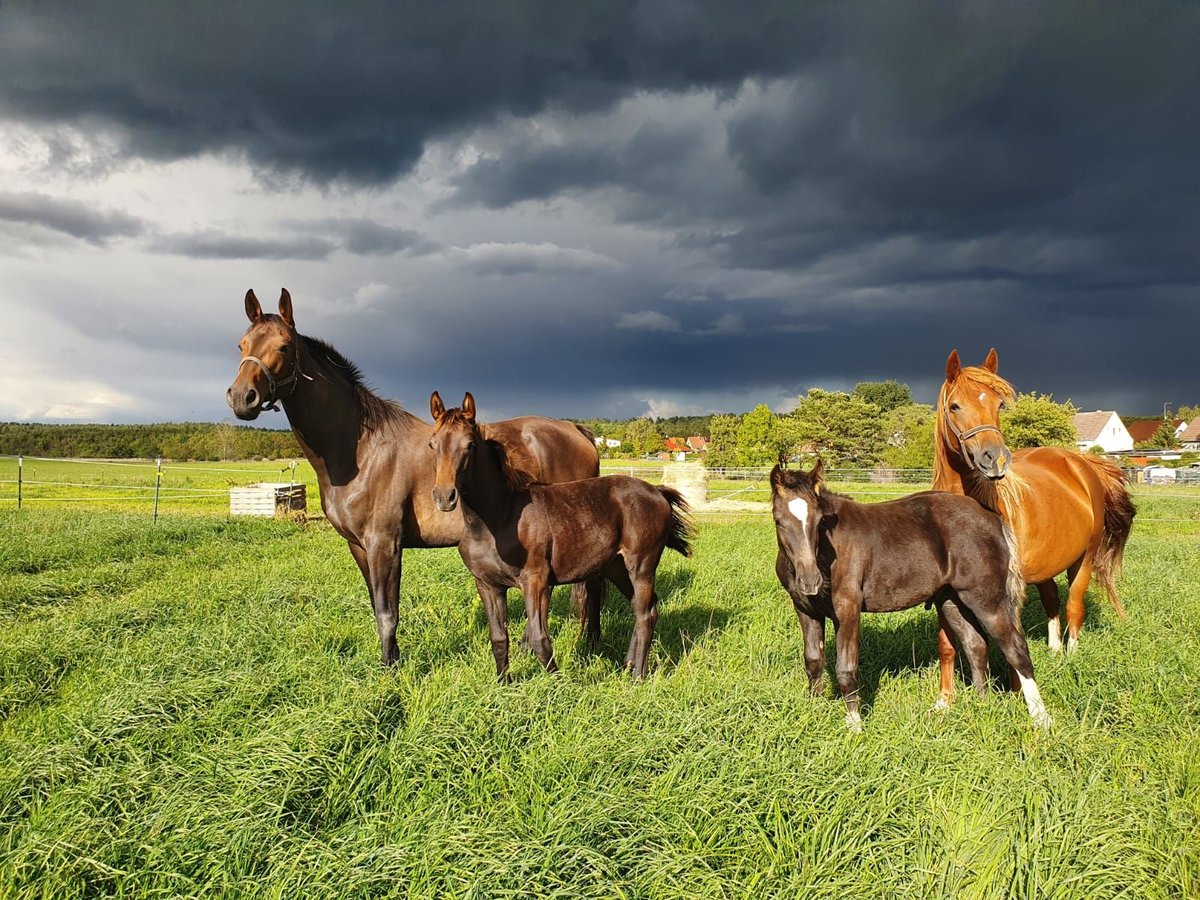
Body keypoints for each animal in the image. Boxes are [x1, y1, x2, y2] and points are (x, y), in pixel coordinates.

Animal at [224, 290, 600, 672]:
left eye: (284, 346)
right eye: (241, 345)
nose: (242, 397)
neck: (360, 452)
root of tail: (575, 430)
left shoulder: (384, 544)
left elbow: (388, 613)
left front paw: (390, 671)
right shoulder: (358, 546)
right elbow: (377, 607)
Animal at [432, 391, 696, 681]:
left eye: (470, 445)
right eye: (432, 444)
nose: (444, 496)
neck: (498, 519)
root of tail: (657, 491)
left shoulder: (535, 580)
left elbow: (539, 638)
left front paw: (559, 684)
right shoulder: (487, 585)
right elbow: (499, 638)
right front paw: (504, 684)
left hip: (642, 566)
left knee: (644, 612)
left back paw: (637, 675)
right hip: (616, 567)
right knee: (646, 608)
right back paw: (628, 666)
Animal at [772, 460, 1046, 729]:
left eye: (819, 521)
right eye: (777, 520)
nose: (811, 581)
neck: (827, 552)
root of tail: (994, 519)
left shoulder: (847, 608)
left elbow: (846, 669)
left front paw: (855, 727)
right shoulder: (805, 610)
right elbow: (813, 661)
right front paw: (813, 712)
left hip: (987, 600)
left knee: (1016, 648)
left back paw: (1041, 721)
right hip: (952, 600)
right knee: (976, 646)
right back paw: (980, 708)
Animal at [926, 348, 1132, 710]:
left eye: (999, 405)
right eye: (955, 406)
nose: (994, 459)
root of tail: (1082, 464)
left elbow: (1012, 640)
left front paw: (1015, 695)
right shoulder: (944, 590)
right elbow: (946, 643)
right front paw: (944, 703)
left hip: (1084, 559)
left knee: (1073, 606)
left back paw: (1070, 656)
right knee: (1051, 602)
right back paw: (1054, 649)